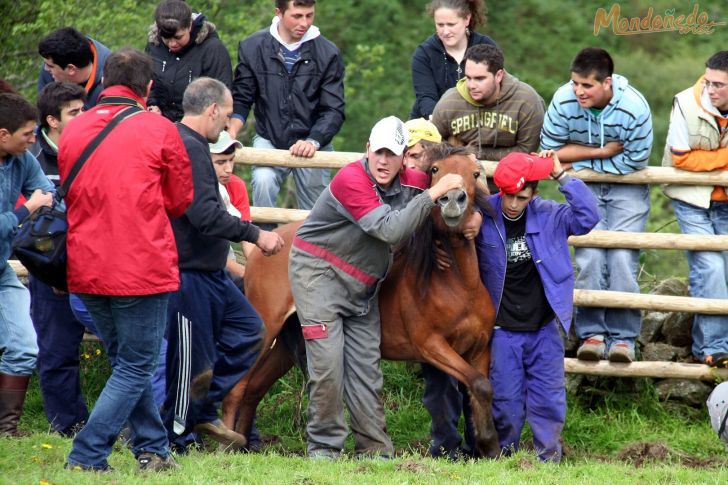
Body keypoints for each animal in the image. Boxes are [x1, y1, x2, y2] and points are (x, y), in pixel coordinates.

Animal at [222, 147, 500, 458]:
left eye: (474, 174)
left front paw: (489, 447)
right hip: (267, 329)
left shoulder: (480, 348)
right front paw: (489, 442)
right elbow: (478, 384)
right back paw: (226, 443)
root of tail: (264, 246)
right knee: (238, 387)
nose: (452, 200)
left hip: (285, 344)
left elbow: (481, 387)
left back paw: (244, 445)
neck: (460, 286)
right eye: (435, 170)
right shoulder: (431, 345)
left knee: (254, 388)